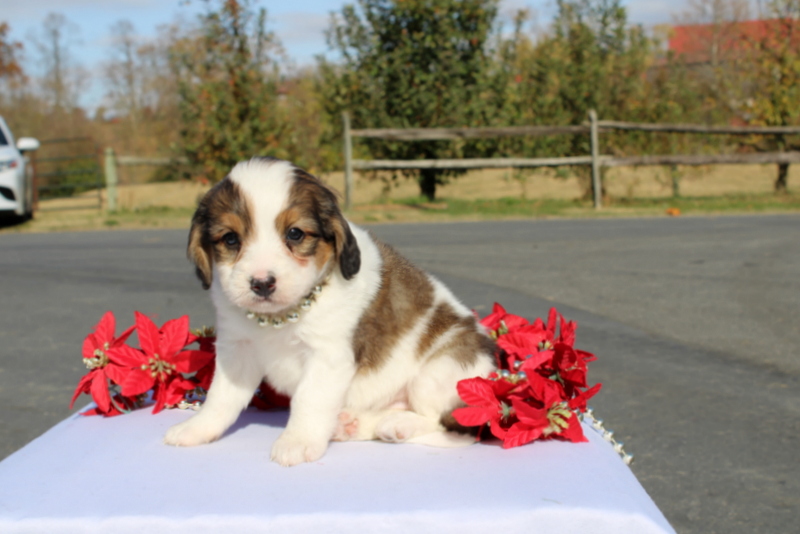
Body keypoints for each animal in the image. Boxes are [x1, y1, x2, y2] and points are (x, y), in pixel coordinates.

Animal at [166, 157, 496, 466]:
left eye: (295, 234)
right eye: (231, 239)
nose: (261, 283)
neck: (281, 317)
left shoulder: (327, 357)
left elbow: (309, 399)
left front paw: (297, 441)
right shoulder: (237, 350)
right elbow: (221, 397)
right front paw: (198, 428)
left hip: (440, 371)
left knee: (455, 429)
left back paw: (399, 424)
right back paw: (355, 424)